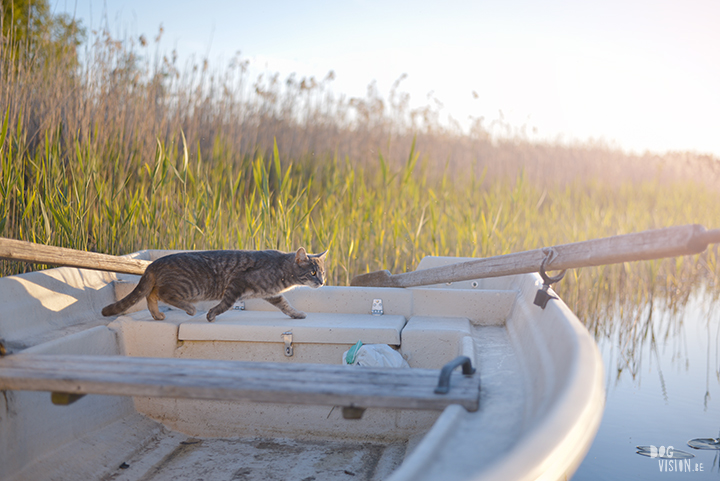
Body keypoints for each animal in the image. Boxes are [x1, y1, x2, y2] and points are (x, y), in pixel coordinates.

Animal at [100, 248, 326, 322]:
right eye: (313, 273)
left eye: (323, 273)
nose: (322, 282)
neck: (281, 269)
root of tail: (154, 263)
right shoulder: (237, 283)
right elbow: (225, 304)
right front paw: (211, 314)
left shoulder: (272, 294)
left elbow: (285, 305)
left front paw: (297, 314)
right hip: (189, 287)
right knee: (162, 293)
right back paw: (189, 309)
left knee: (151, 294)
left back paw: (156, 314)